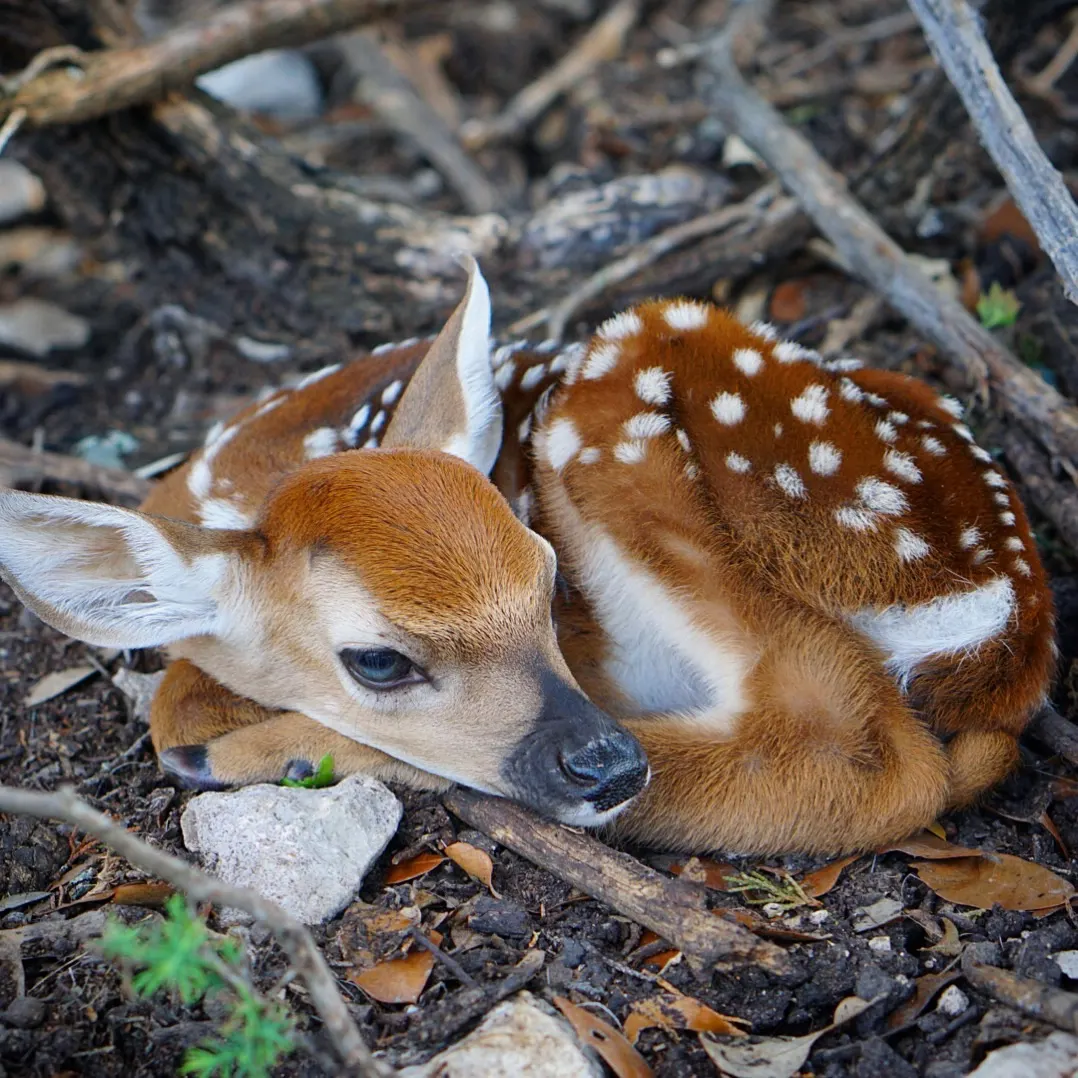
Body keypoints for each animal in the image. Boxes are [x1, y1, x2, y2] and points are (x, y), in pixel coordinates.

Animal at [0, 259, 1056, 855]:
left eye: (549, 581)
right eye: (376, 660)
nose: (604, 762)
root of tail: (1010, 628)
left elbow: (177, 699)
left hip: (617, 402)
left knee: (860, 746)